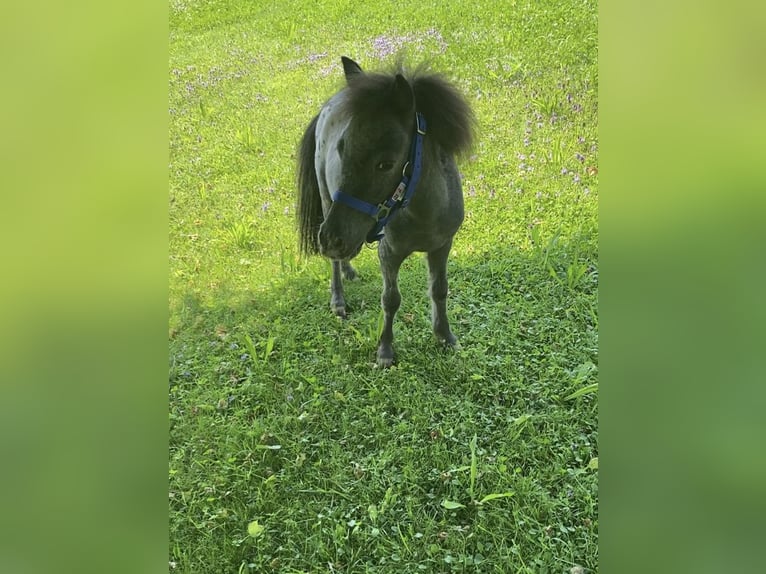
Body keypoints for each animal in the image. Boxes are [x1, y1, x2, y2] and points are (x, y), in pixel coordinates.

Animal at [297, 56, 475, 368]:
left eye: (385, 164)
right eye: (341, 150)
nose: (332, 239)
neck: (423, 215)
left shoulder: (442, 246)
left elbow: (439, 289)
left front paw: (445, 337)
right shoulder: (389, 253)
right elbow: (391, 299)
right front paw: (385, 351)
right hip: (327, 202)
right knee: (334, 263)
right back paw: (338, 299)